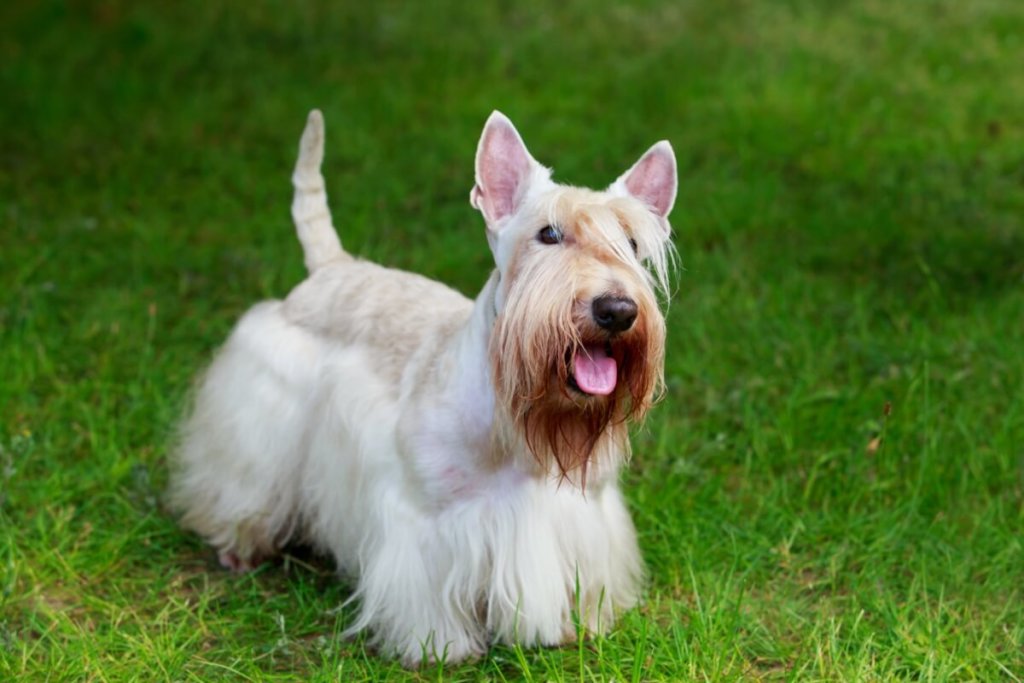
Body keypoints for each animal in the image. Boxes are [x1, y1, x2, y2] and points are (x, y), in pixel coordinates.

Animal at [167, 109, 675, 663]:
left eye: (632, 244)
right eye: (548, 233)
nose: (617, 310)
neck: (513, 426)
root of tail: (332, 266)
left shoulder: (579, 515)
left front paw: (572, 625)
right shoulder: (424, 522)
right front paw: (439, 647)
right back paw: (238, 544)